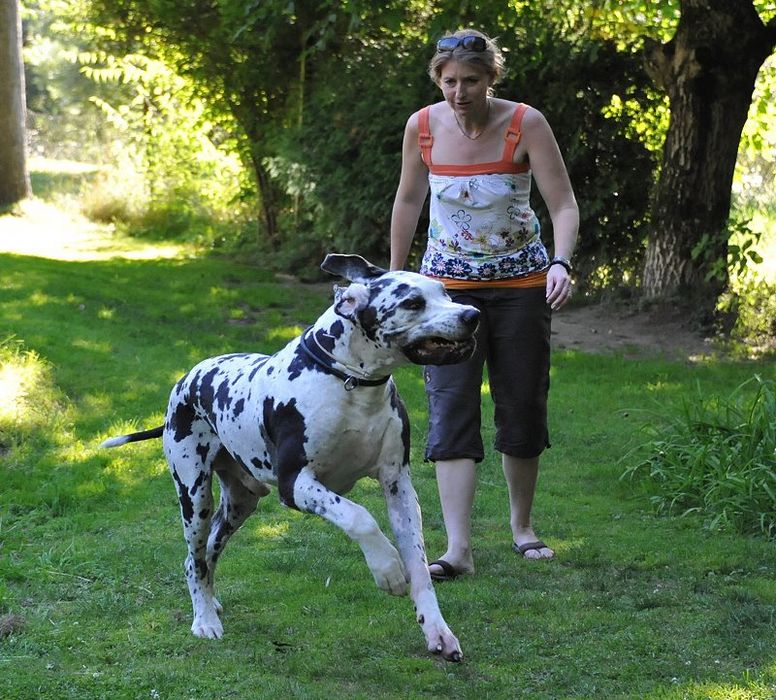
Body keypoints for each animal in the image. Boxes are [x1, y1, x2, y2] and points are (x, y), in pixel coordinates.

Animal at [101, 254, 480, 662]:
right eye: (412, 303)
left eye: (445, 292)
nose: (472, 314)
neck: (350, 382)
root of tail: (186, 380)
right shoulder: (295, 483)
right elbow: (359, 517)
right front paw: (388, 569)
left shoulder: (399, 487)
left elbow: (420, 568)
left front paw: (437, 631)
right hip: (195, 497)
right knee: (194, 557)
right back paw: (204, 619)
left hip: (240, 504)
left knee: (208, 553)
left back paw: (210, 601)